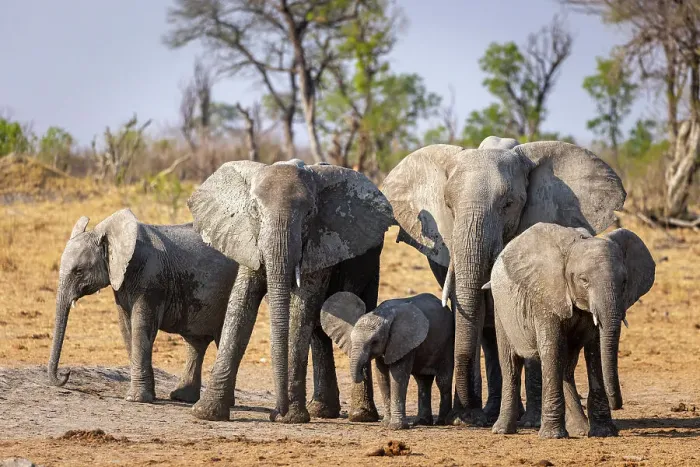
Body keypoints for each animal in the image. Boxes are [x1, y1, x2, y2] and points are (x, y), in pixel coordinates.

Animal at [48, 209, 239, 404]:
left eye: (78, 271)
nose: (66, 373)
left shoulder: (150, 278)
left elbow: (141, 326)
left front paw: (135, 399)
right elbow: (126, 327)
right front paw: (148, 396)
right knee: (195, 343)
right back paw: (182, 397)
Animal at [185, 159, 395, 422]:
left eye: (310, 214)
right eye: (254, 211)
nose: (277, 412)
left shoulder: (318, 244)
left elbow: (301, 308)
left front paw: (292, 418)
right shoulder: (248, 240)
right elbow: (240, 307)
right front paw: (207, 413)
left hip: (370, 263)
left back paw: (360, 416)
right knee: (319, 327)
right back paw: (322, 411)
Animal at [320, 292, 454, 429]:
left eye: (374, 342)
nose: (362, 373)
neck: (384, 314)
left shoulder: (403, 341)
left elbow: (398, 375)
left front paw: (396, 427)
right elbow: (381, 375)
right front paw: (385, 424)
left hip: (448, 342)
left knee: (443, 381)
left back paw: (441, 422)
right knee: (423, 381)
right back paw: (422, 422)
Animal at [381, 138, 626, 426]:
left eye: (508, 204)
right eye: (449, 206)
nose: (462, 413)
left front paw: (531, 422)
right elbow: (474, 314)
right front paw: (468, 418)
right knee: (489, 334)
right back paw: (490, 412)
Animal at [488, 223, 655, 438]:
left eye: (625, 281)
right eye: (583, 280)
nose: (617, 404)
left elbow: (595, 352)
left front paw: (604, 432)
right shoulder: (545, 298)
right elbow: (552, 349)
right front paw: (552, 436)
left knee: (566, 367)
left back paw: (581, 429)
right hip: (501, 309)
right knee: (511, 364)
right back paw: (502, 430)